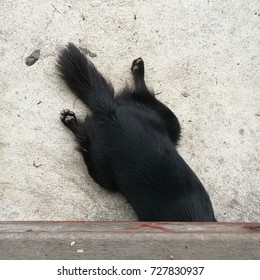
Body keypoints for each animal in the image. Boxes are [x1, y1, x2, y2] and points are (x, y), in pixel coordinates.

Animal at [57, 43, 215, 221]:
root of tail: (109, 110)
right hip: (102, 171)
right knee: (82, 137)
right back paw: (70, 120)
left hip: (167, 121)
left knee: (141, 92)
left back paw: (138, 68)